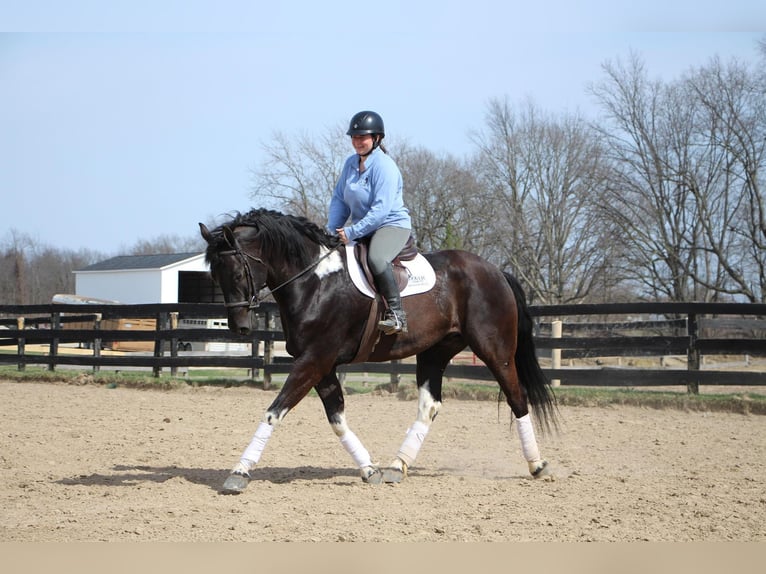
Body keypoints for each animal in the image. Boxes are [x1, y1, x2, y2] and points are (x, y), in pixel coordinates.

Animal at [198, 209, 560, 498]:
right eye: (214, 275)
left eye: (237, 272)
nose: (239, 327)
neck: (314, 281)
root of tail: (496, 271)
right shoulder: (322, 365)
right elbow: (336, 418)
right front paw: (369, 469)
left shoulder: (313, 360)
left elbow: (274, 411)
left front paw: (240, 472)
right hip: (434, 352)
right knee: (430, 406)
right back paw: (397, 466)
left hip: (495, 350)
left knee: (517, 397)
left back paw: (538, 465)